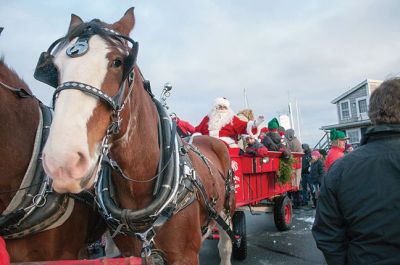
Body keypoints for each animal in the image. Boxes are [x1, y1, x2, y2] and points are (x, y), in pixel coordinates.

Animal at [38, 7, 234, 262]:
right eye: (56, 69)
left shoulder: (185, 255)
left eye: (118, 62)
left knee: (225, 246)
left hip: (227, 210)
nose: (62, 162)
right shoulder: (132, 252)